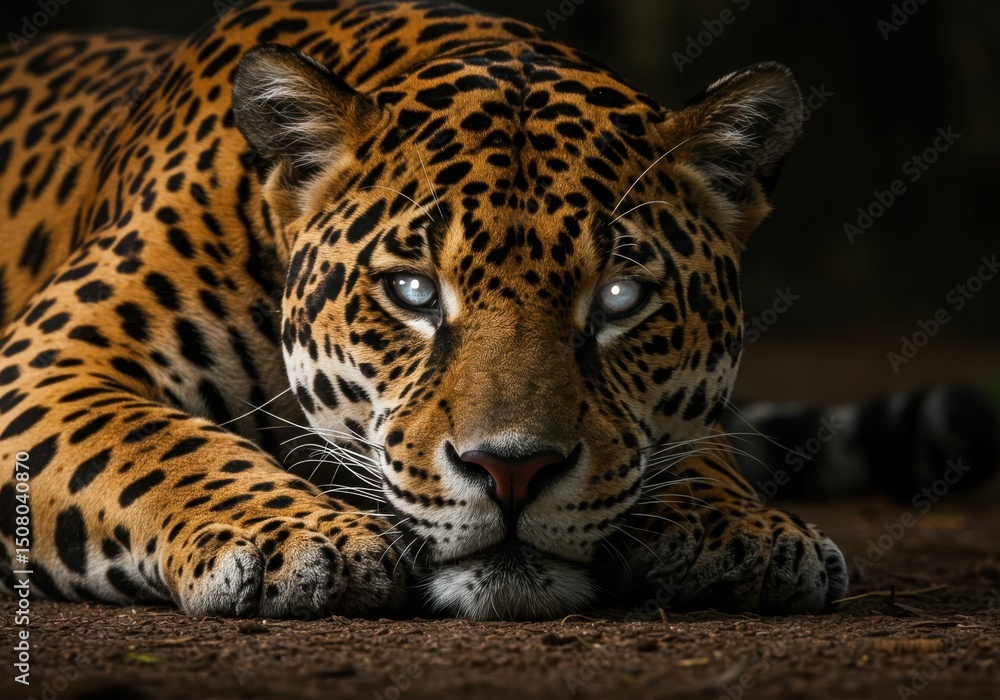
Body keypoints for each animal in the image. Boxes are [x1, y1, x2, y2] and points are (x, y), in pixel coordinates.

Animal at [0, 0, 855, 620]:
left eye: (619, 297)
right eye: (412, 291)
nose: (513, 471)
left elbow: (694, 446)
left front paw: (750, 531)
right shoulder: (49, 361)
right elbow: (159, 445)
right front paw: (296, 536)